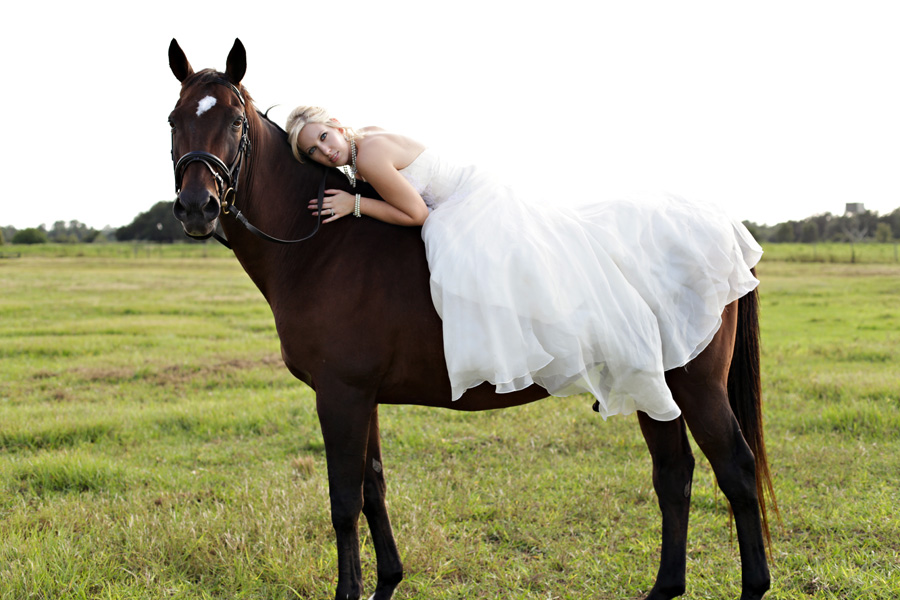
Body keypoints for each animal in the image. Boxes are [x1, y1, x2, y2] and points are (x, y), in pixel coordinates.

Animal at [167, 38, 772, 600]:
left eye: (235, 121)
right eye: (175, 119)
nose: (197, 208)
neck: (324, 247)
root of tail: (723, 226)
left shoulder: (340, 394)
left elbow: (343, 502)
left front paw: (352, 590)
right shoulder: (361, 396)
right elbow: (372, 488)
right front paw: (388, 581)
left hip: (695, 384)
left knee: (735, 471)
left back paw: (752, 585)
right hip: (652, 385)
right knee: (674, 475)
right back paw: (664, 587)